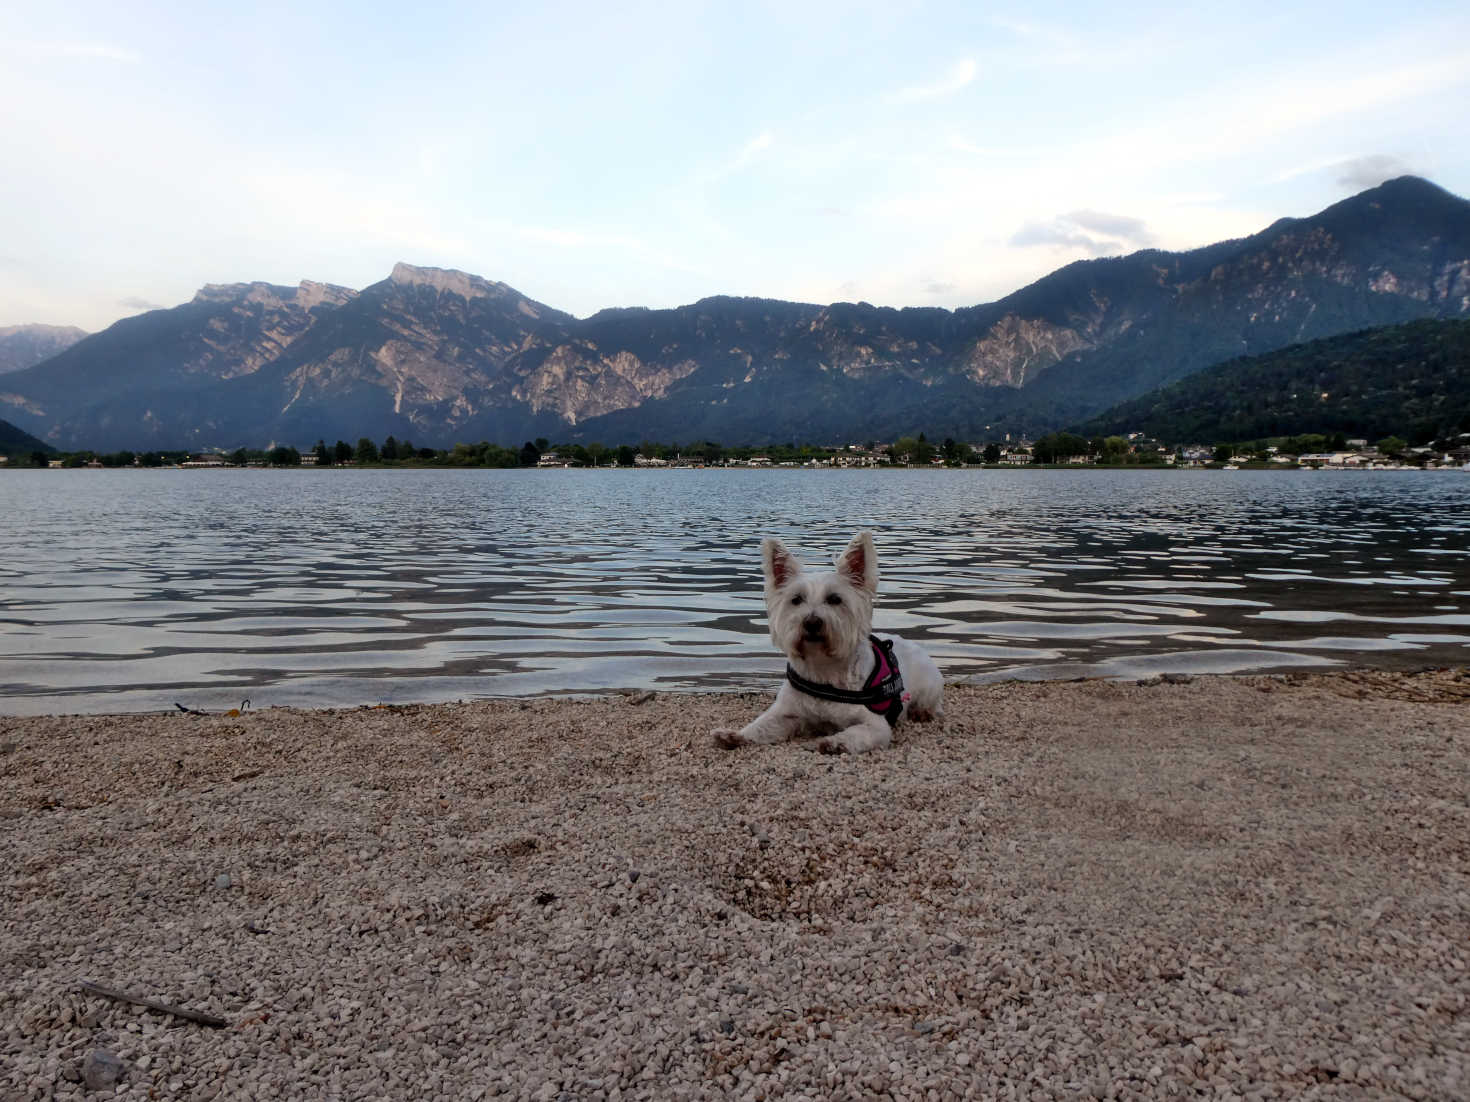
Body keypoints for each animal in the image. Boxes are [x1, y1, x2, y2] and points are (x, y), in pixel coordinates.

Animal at [717, 531, 946, 758]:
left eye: (835, 599)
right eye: (796, 599)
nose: (811, 622)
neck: (823, 669)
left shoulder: (875, 725)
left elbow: (856, 733)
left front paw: (835, 742)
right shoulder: (786, 713)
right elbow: (761, 726)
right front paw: (735, 735)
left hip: (929, 685)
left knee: (931, 703)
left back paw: (922, 712)